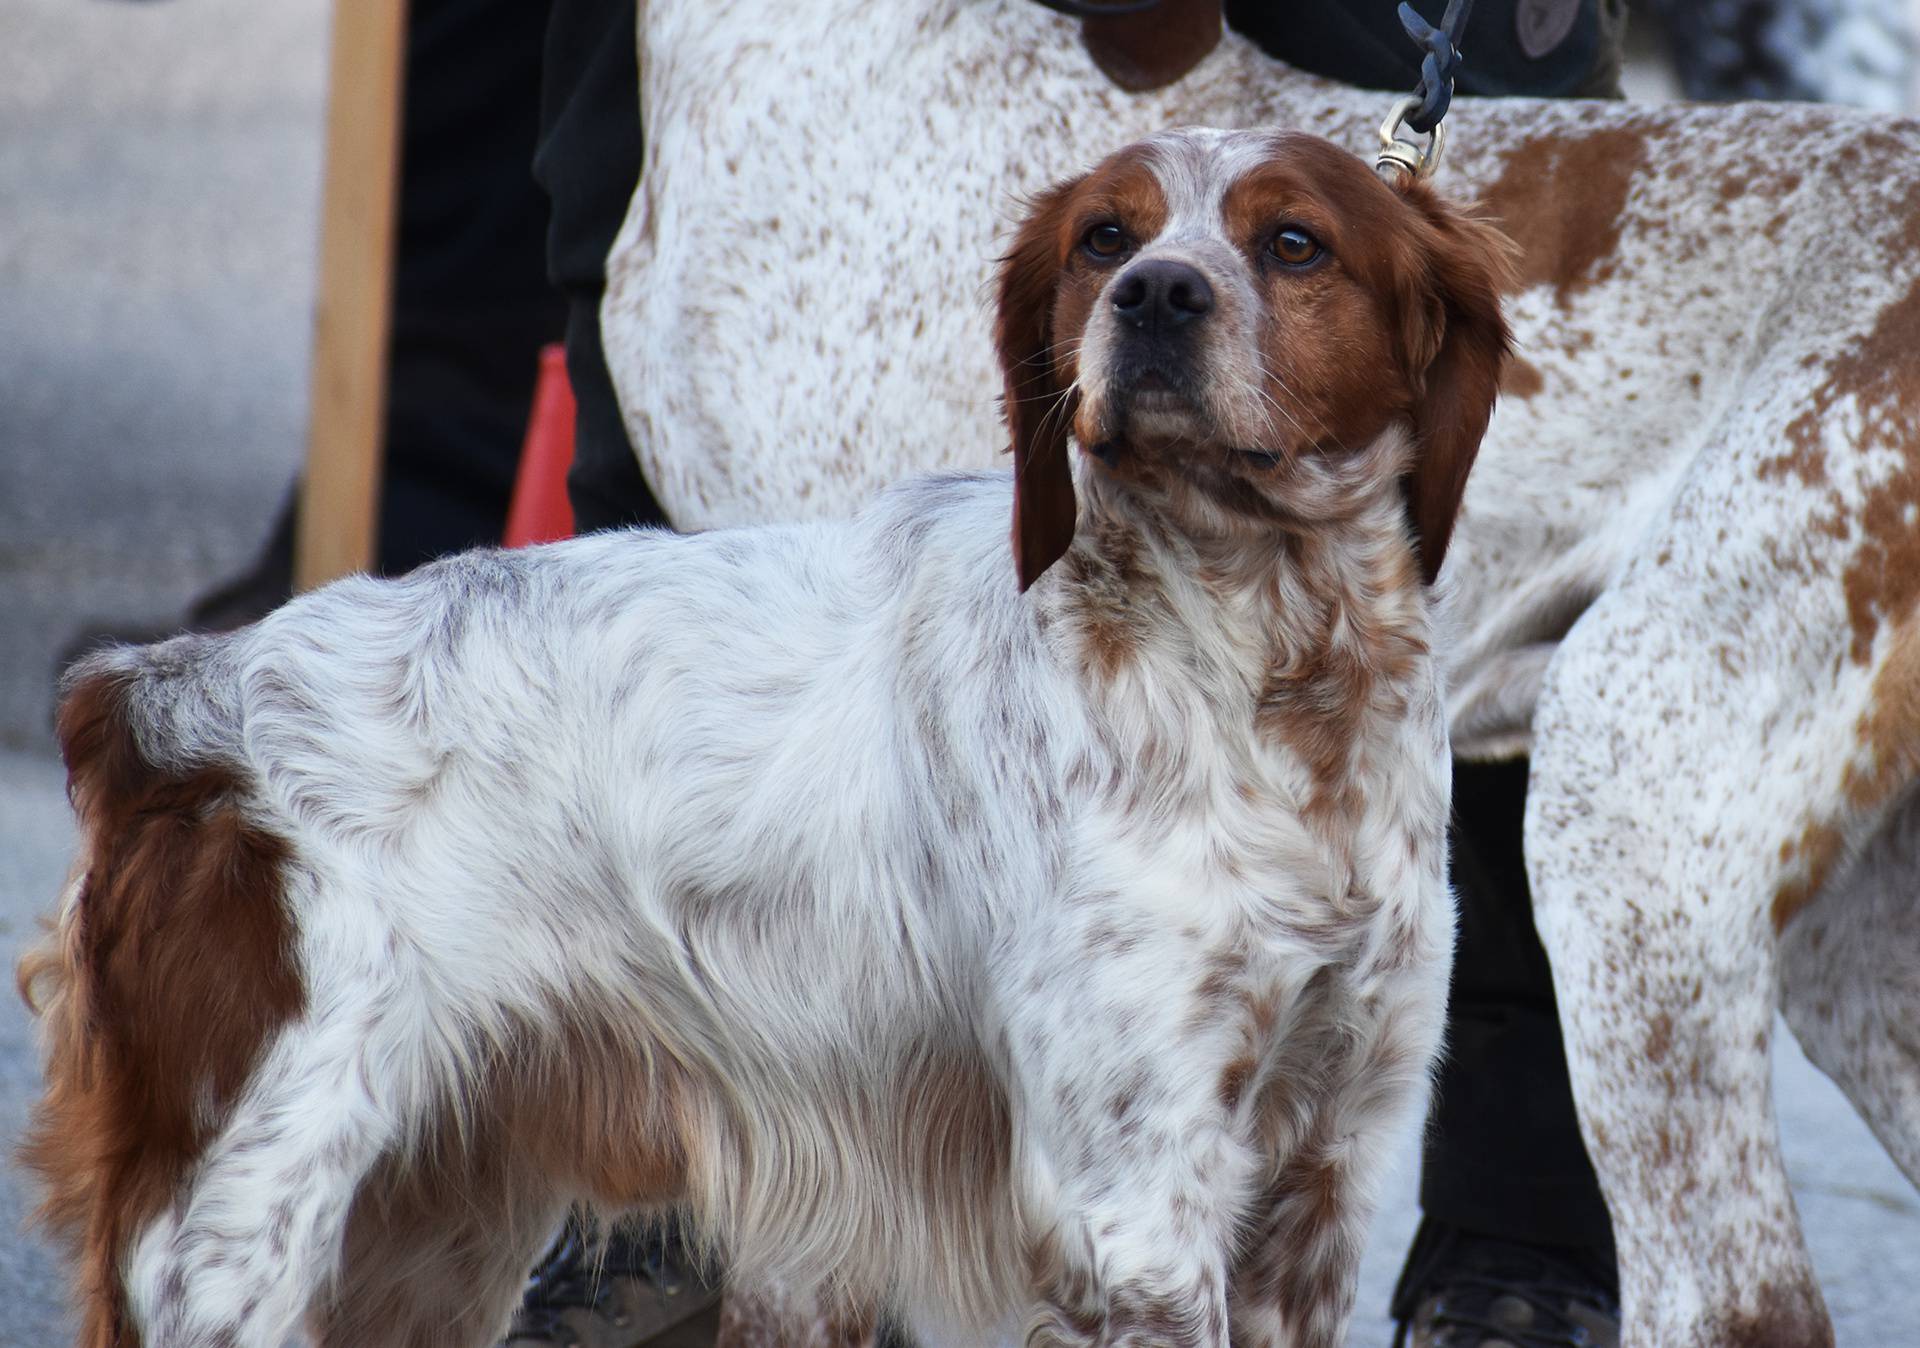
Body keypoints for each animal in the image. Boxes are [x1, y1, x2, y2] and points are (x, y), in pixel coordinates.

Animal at [18, 134, 1512, 1348]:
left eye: (1295, 242)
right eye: (1105, 236)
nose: (1153, 295)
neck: (1266, 673)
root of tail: (165, 694)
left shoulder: (1328, 1167)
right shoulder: (1133, 1196)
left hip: (421, 1225)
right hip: (239, 1223)